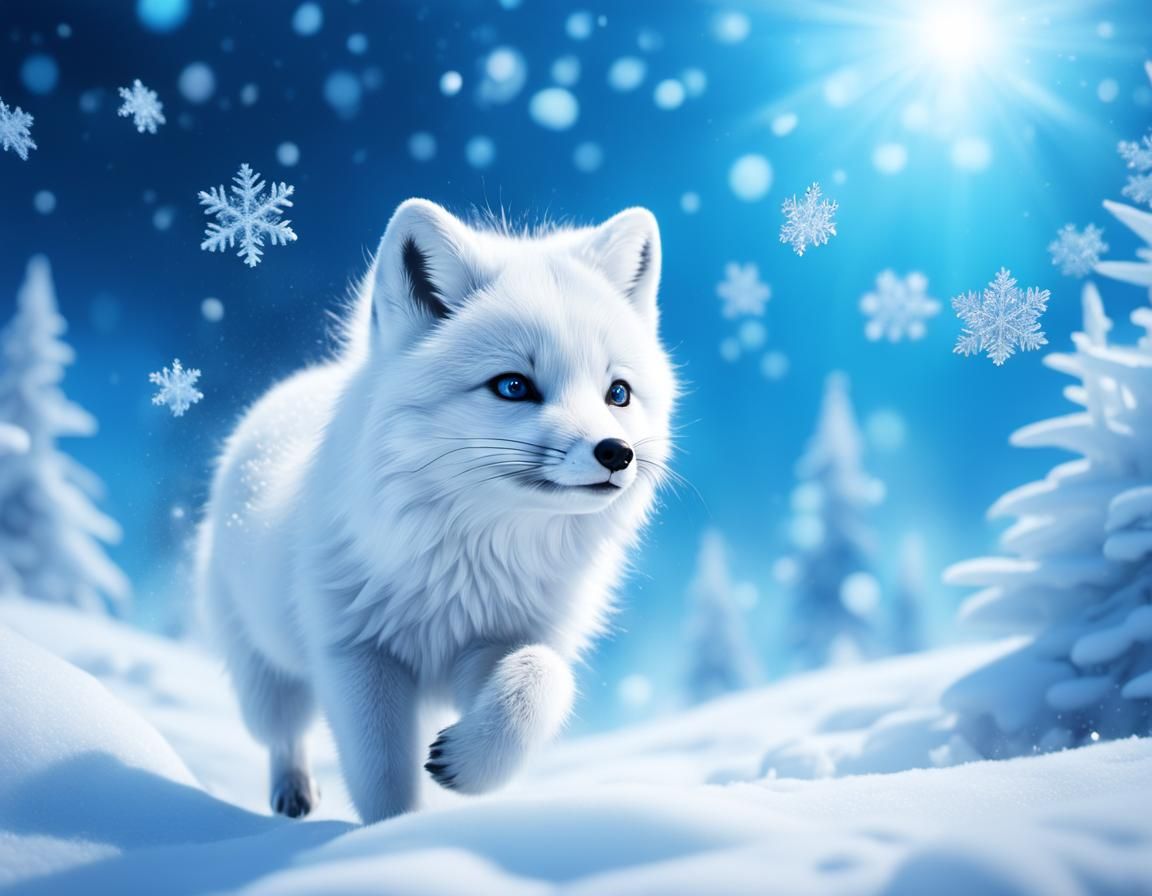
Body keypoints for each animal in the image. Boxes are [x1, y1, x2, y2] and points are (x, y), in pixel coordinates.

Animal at [197, 199, 676, 823]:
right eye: (513, 386)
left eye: (618, 393)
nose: (617, 453)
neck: (467, 565)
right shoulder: (356, 653)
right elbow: (382, 775)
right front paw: (393, 836)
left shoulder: (499, 642)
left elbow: (544, 679)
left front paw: (469, 765)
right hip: (266, 674)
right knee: (284, 735)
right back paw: (292, 793)